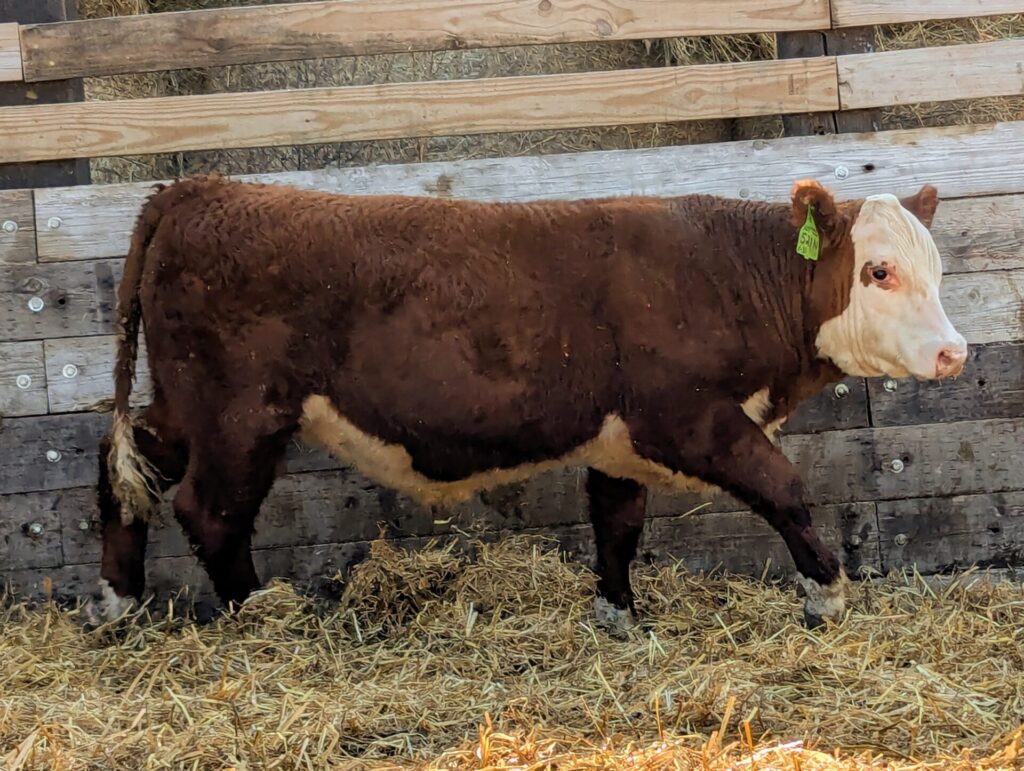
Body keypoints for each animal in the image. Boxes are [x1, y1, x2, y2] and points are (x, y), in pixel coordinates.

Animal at [88, 174, 967, 633]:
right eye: (879, 270)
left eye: (937, 270)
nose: (954, 351)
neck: (722, 275)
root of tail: (202, 187)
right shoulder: (688, 419)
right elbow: (784, 487)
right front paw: (828, 591)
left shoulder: (619, 440)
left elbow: (616, 523)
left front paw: (618, 614)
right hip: (240, 415)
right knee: (208, 510)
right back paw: (258, 613)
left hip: (186, 405)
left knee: (124, 471)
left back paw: (118, 601)